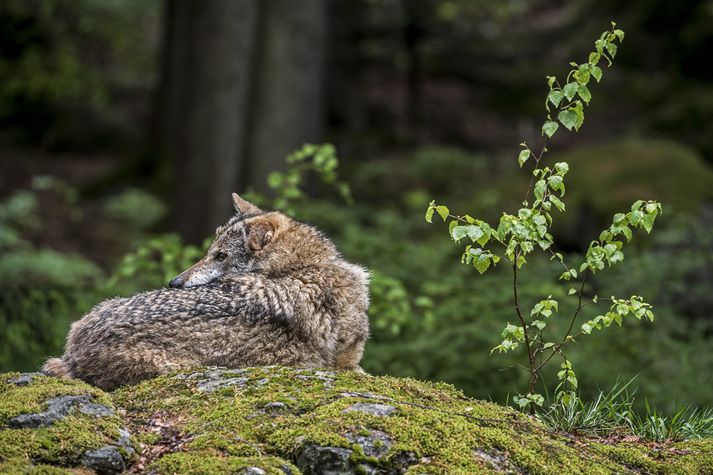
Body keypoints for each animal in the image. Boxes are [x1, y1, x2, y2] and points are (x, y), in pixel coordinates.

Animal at [41, 193, 370, 390]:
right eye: (210, 252)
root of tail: (74, 351)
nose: (174, 282)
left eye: (220, 256)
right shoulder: (348, 365)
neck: (305, 266)